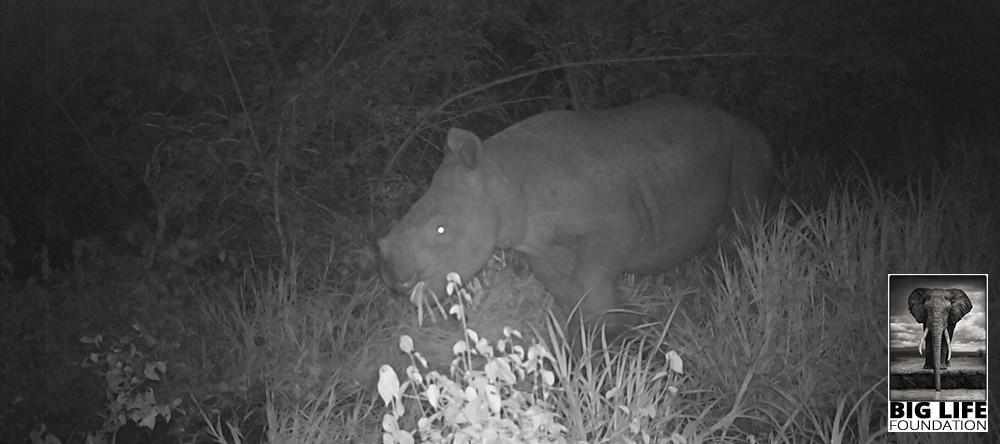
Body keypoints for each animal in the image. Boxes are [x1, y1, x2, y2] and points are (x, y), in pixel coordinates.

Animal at [378, 95, 773, 337]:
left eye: (441, 229)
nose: (396, 282)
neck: (500, 178)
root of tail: (753, 127)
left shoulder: (614, 227)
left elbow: (592, 280)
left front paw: (610, 338)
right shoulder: (535, 242)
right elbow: (563, 288)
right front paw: (579, 331)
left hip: (745, 145)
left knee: (746, 222)